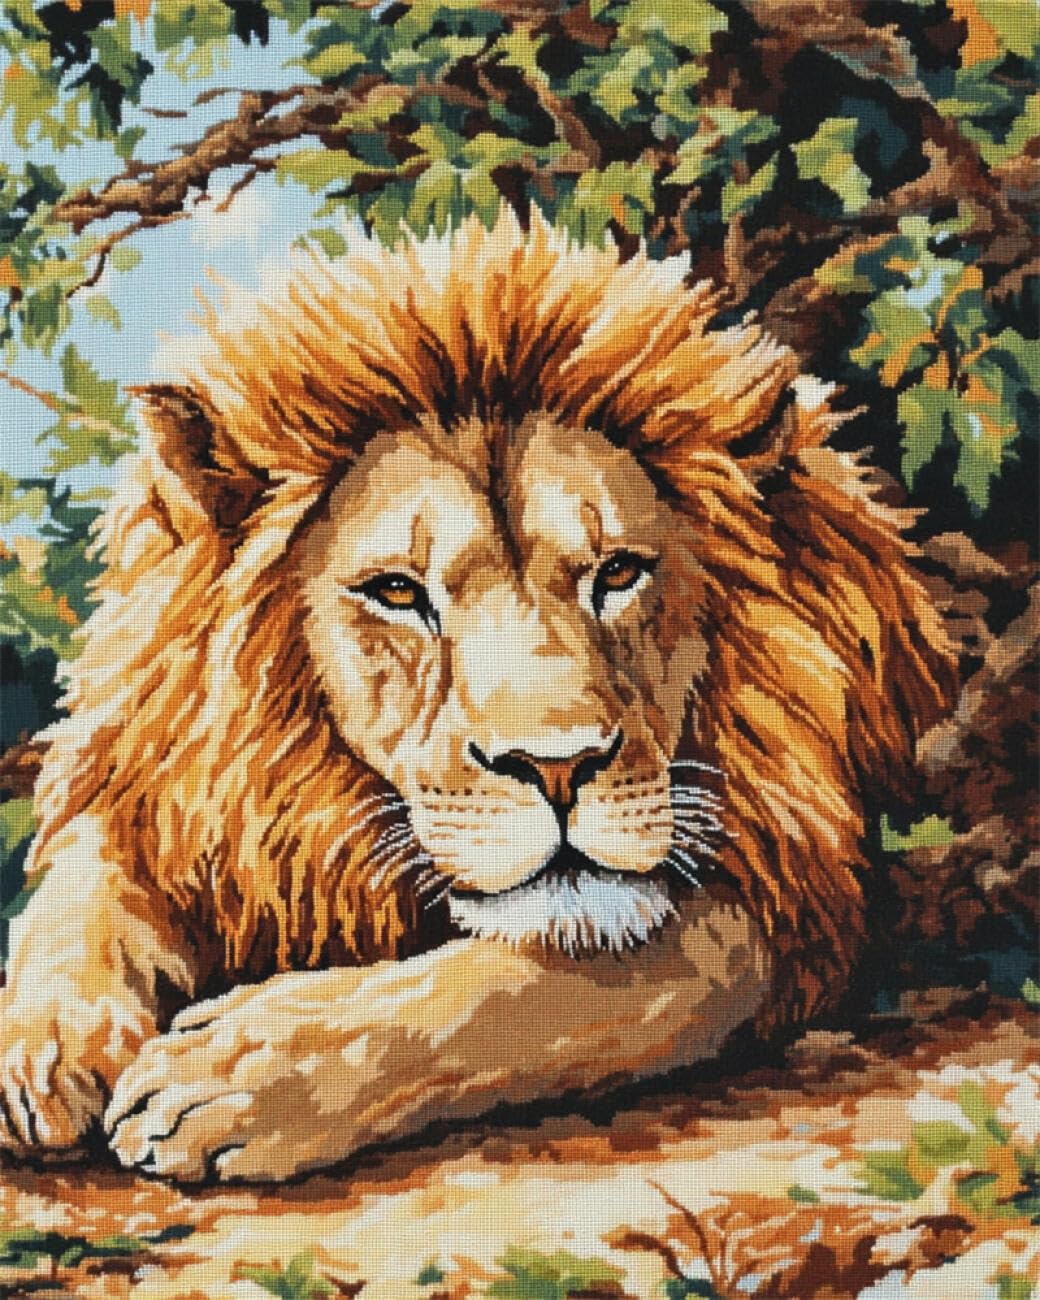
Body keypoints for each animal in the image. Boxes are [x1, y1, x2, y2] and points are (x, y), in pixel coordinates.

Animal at [0, 211, 955, 1182]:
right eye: (396, 591)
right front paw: (48, 1043)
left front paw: (234, 1070)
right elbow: (83, 879)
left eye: (618, 573)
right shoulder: (160, 781)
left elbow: (527, 985)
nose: (561, 769)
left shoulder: (784, 901)